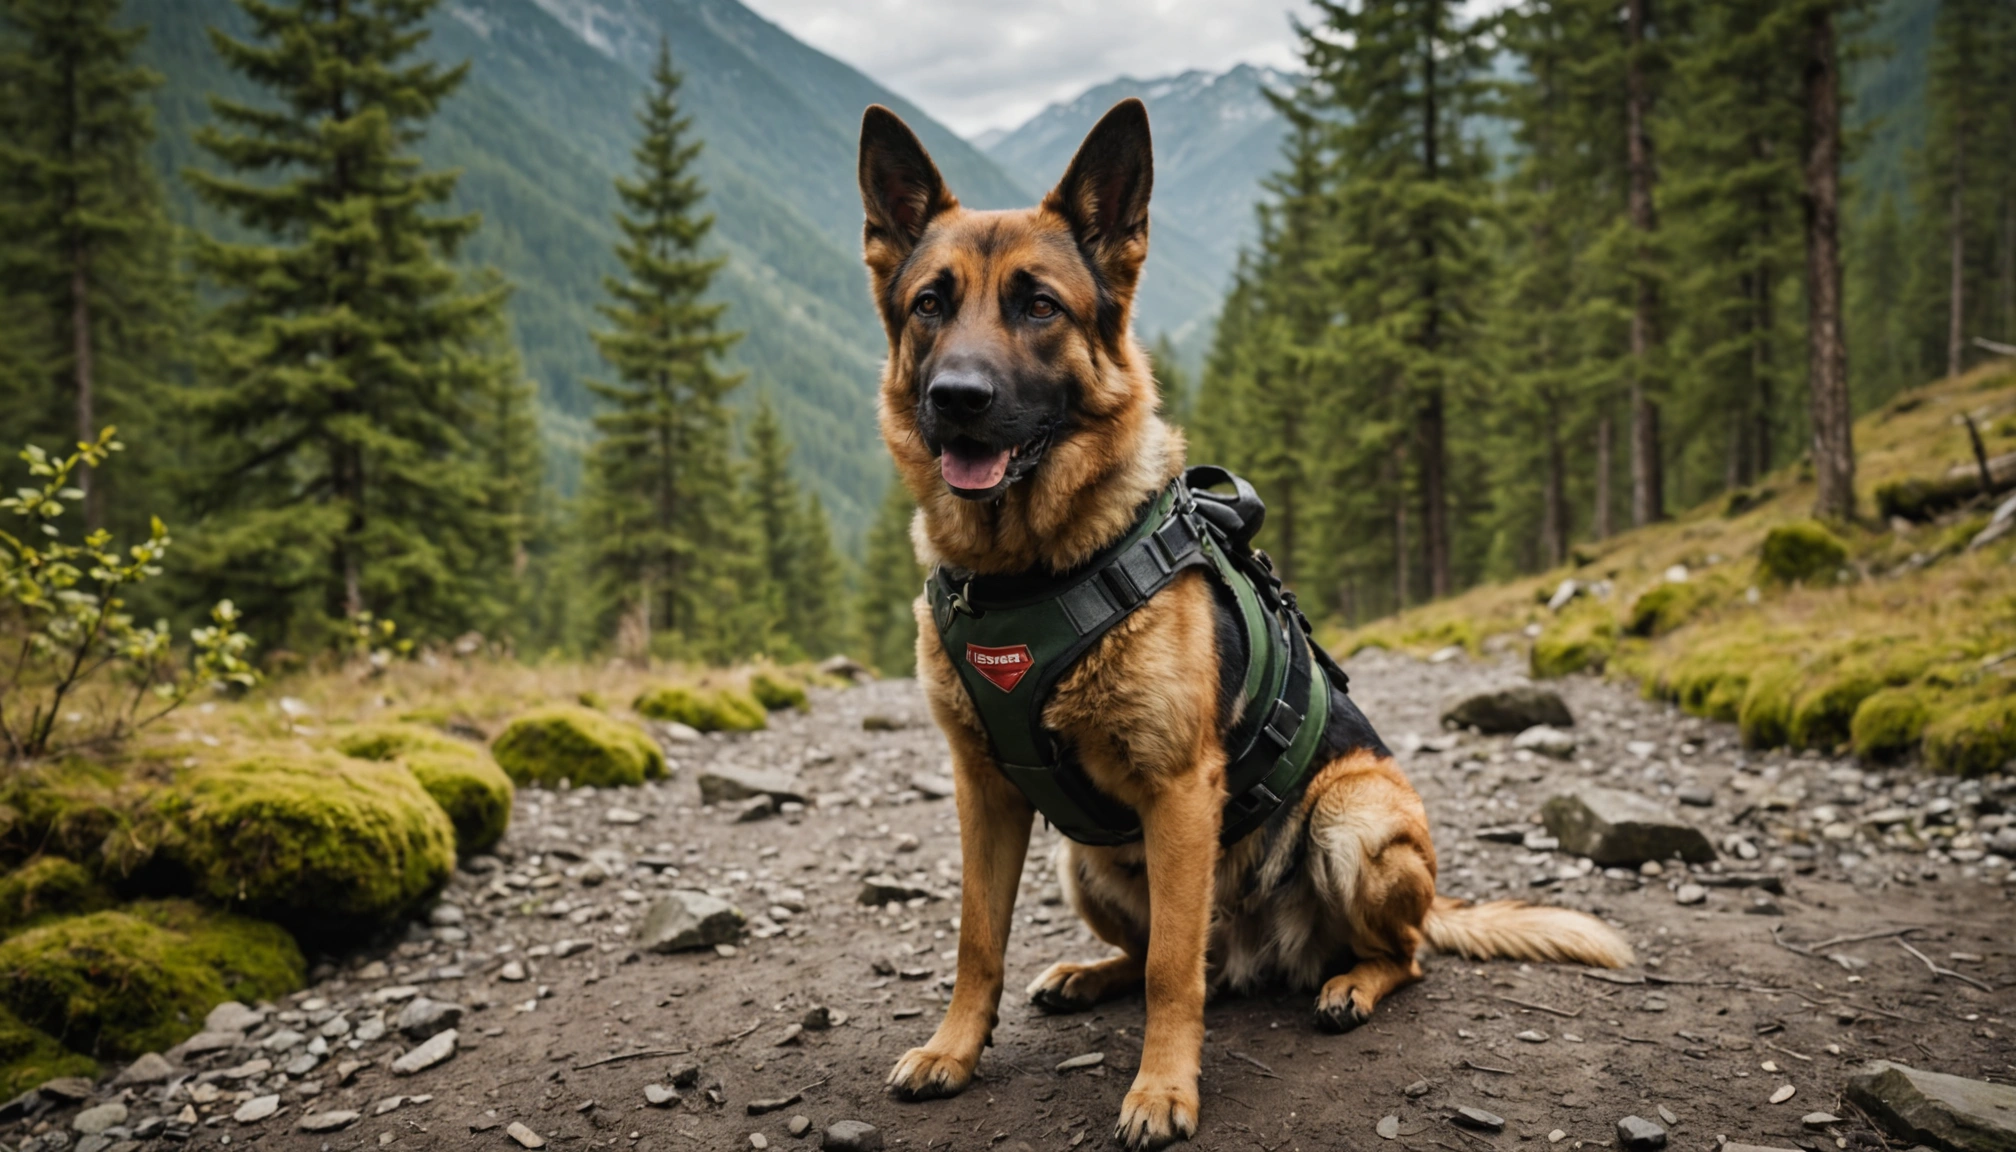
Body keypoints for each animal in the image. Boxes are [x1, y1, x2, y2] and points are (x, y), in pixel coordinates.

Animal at [858, 101, 1628, 1152]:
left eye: (1039, 307)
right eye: (931, 304)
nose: (957, 400)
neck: (1030, 570)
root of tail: (1271, 952)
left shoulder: (1182, 792)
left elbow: (1169, 975)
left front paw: (1160, 1090)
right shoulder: (986, 792)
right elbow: (980, 940)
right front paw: (955, 1050)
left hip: (1352, 821)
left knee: (1388, 956)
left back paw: (1350, 985)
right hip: (1082, 860)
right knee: (1188, 962)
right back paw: (1088, 975)